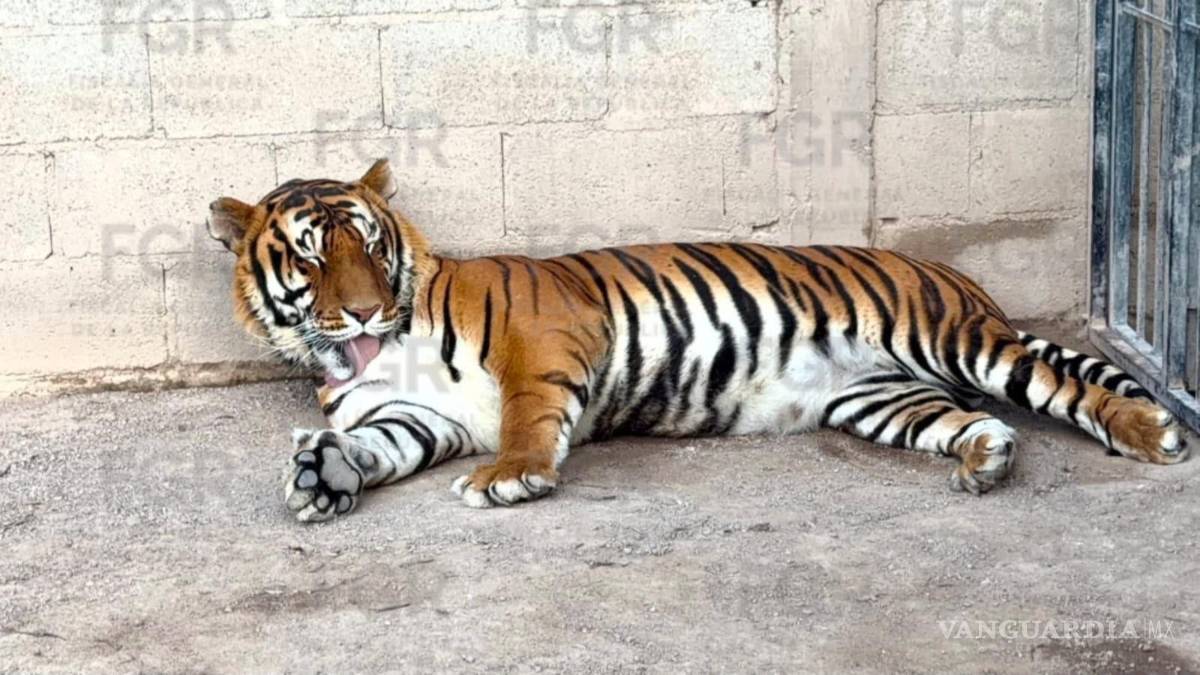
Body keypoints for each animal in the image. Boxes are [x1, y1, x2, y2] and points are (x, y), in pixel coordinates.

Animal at [207, 158, 1189, 522]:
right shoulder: (417, 416)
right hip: (884, 397)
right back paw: (987, 460)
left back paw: (1155, 434)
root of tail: (956, 275)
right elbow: (376, 445)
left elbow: (527, 414)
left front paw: (511, 475)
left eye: (371, 246)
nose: (365, 313)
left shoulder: (545, 336)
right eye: (312, 255)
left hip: (956, 339)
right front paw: (322, 474)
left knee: (1063, 385)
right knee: (979, 421)